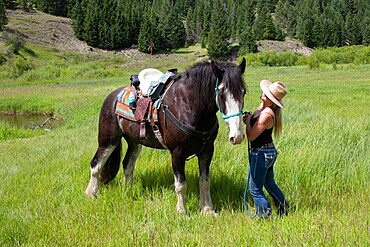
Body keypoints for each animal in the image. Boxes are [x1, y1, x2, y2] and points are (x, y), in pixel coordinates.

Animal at [85, 58, 247, 215]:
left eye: (244, 92)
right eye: (221, 91)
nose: (237, 136)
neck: (188, 105)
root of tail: (112, 97)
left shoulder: (207, 151)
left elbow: (205, 182)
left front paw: (208, 210)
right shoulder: (177, 153)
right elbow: (181, 185)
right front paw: (182, 212)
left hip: (134, 142)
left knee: (127, 165)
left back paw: (129, 191)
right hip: (108, 141)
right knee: (96, 165)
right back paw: (91, 194)